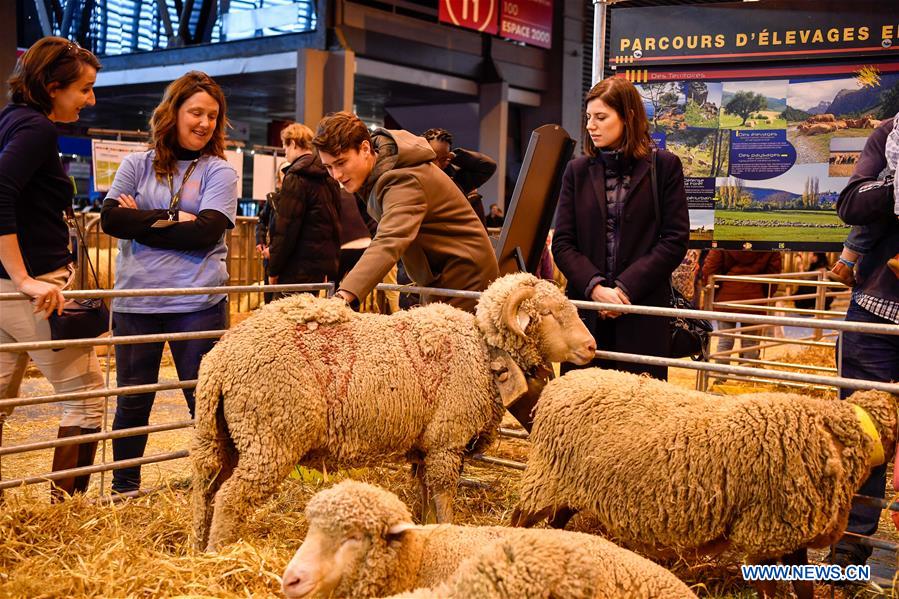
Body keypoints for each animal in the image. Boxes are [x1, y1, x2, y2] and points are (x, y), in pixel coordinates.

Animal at [191, 274, 596, 552]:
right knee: (230, 497)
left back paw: (197, 544)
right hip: (270, 438)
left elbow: (424, 495)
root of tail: (220, 360)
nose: (592, 346)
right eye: (549, 313)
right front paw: (448, 529)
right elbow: (443, 495)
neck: (482, 351)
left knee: (207, 490)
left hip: (225, 437)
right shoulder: (447, 442)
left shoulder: (426, 446)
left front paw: (425, 529)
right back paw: (220, 554)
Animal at [510, 370, 896, 599]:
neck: (834, 433)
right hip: (545, 477)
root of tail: (560, 383)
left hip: (571, 485)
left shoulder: (790, 530)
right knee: (519, 518)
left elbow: (802, 585)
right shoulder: (764, 530)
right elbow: (771, 587)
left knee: (558, 521)